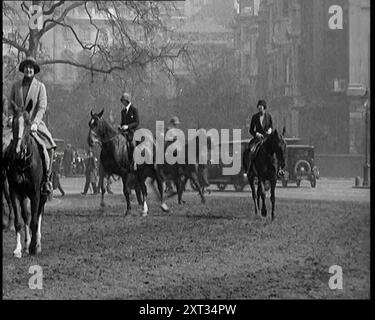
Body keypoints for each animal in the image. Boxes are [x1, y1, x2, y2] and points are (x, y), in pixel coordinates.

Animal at [6, 102, 47, 258]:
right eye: (14, 123)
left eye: (29, 123)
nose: (18, 150)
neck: (23, 162)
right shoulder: (15, 191)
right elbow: (19, 220)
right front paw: (18, 249)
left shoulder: (36, 193)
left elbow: (35, 220)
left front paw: (34, 247)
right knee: (26, 216)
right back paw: (26, 243)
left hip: (43, 193)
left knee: (39, 214)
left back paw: (37, 243)